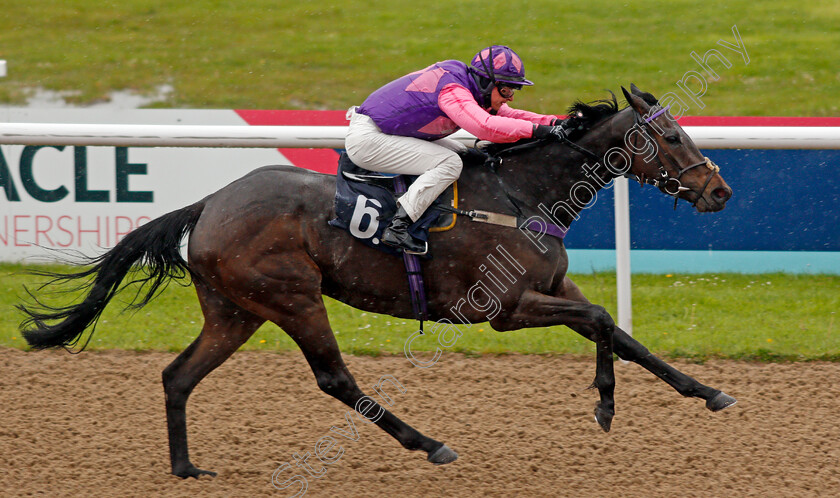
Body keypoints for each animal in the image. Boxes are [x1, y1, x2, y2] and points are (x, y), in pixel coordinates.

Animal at [16, 85, 732, 478]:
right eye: (671, 136)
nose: (719, 190)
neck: (521, 194)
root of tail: (212, 201)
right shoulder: (504, 307)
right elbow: (604, 324)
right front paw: (605, 405)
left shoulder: (556, 290)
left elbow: (623, 332)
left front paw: (708, 392)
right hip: (293, 297)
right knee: (335, 379)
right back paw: (431, 444)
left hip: (235, 310)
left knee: (177, 375)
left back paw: (185, 466)